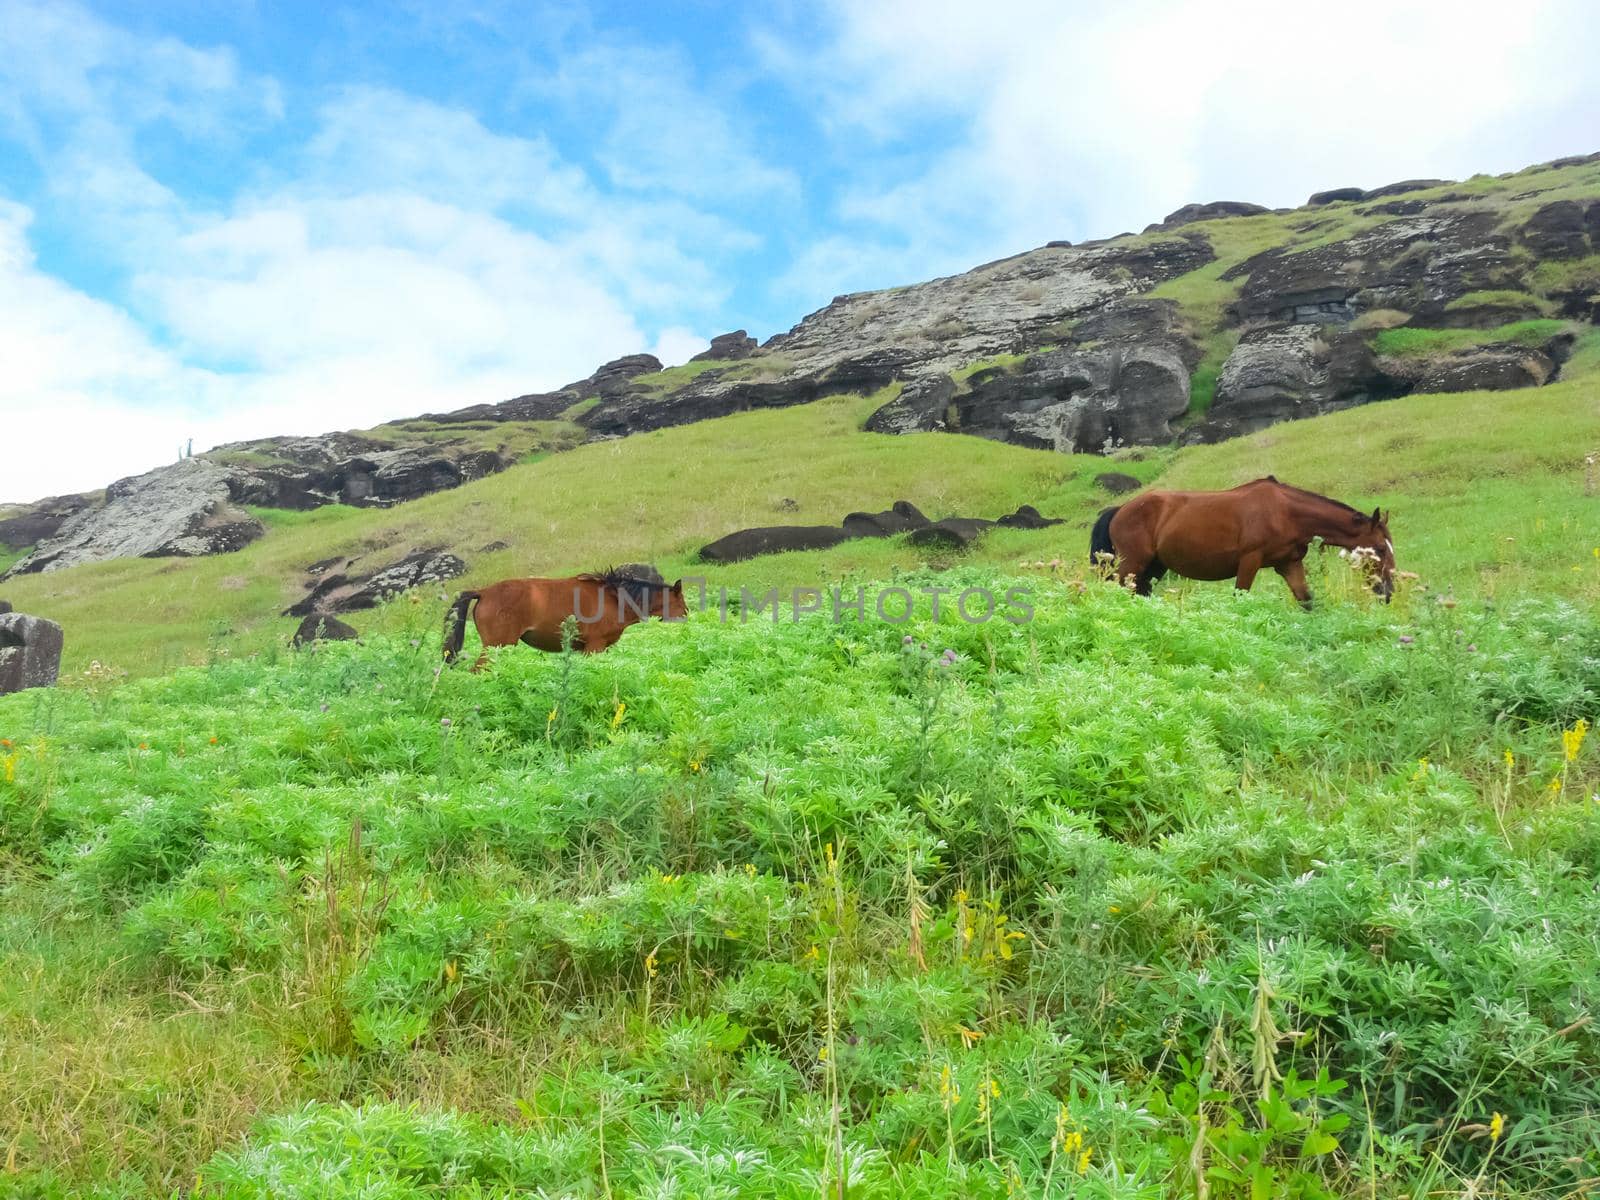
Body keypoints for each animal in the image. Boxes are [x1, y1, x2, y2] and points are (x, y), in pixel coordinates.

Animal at [444, 569, 688, 672]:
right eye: (682, 603)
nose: (686, 617)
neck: (615, 598)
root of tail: (484, 592)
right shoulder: (595, 646)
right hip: (497, 646)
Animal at [1094, 480, 1395, 611]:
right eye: (1380, 549)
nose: (1388, 592)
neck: (1286, 513)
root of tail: (1119, 509)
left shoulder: (1289, 563)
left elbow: (1306, 600)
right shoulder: (1250, 561)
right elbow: (1240, 597)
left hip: (1154, 568)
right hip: (1132, 564)